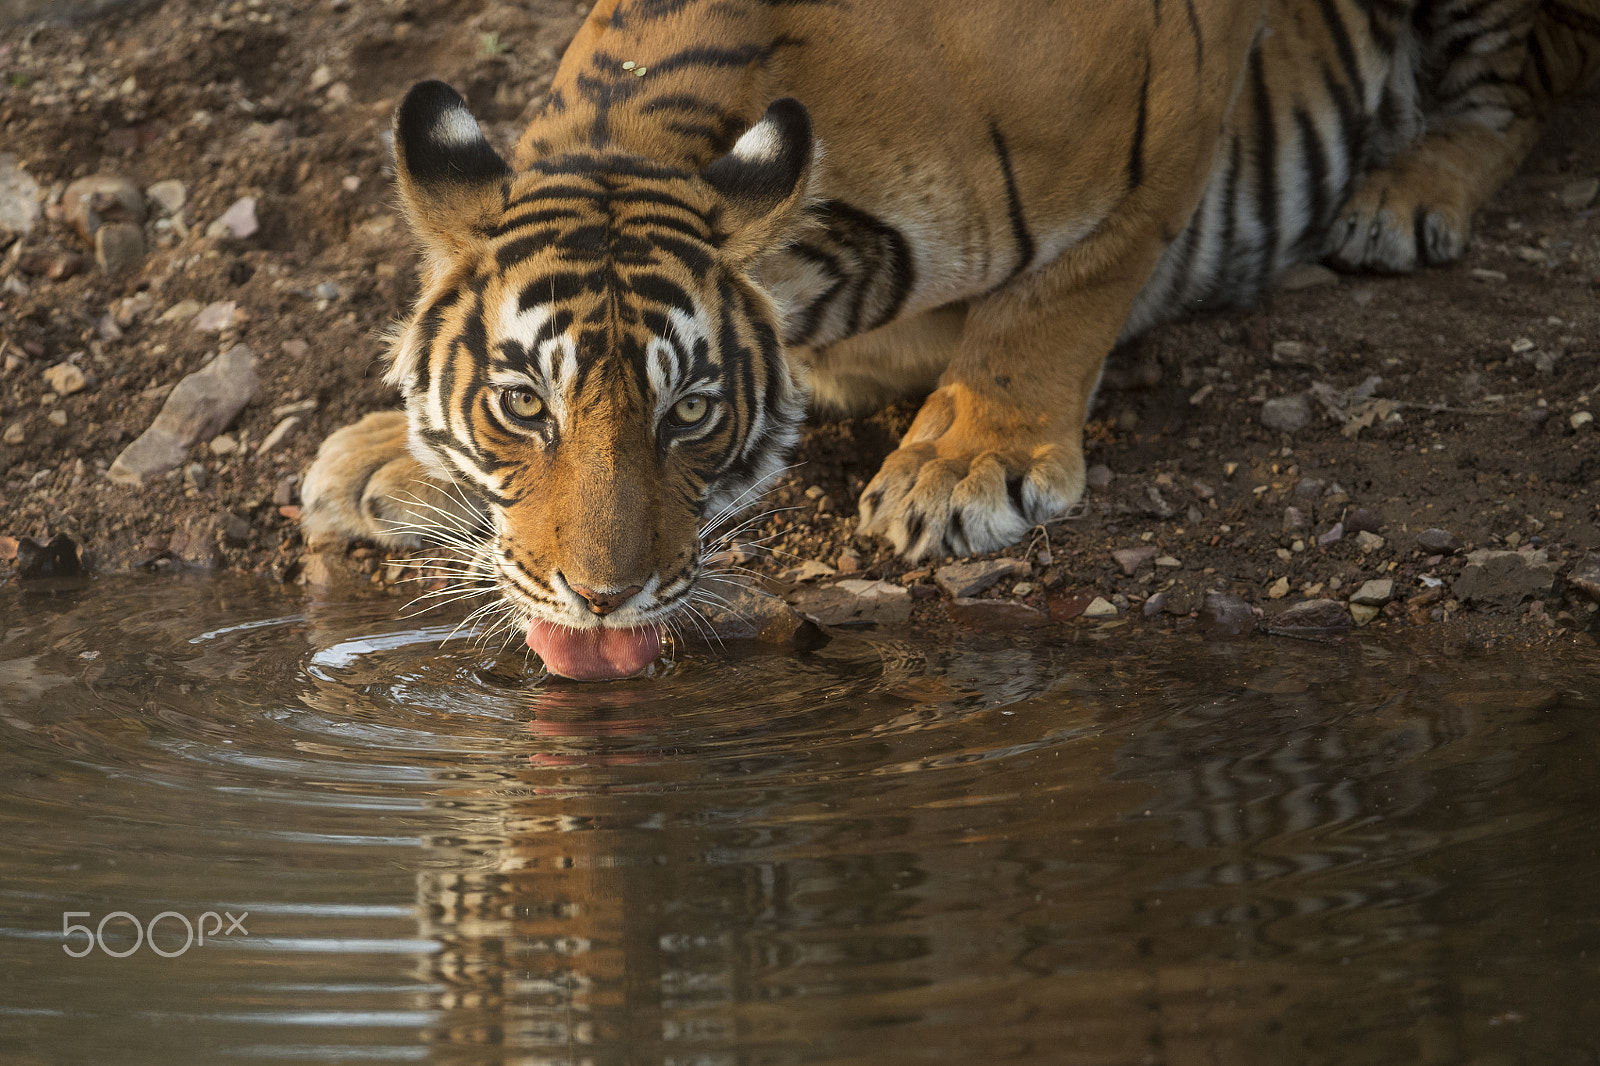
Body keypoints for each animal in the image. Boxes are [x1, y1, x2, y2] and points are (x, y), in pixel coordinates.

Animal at [302, 0, 1600, 675]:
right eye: (523, 404)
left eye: (692, 411)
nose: (602, 599)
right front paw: (378, 457)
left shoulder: (1172, 96)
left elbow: (1067, 287)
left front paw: (967, 465)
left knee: (1527, 87)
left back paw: (1402, 198)